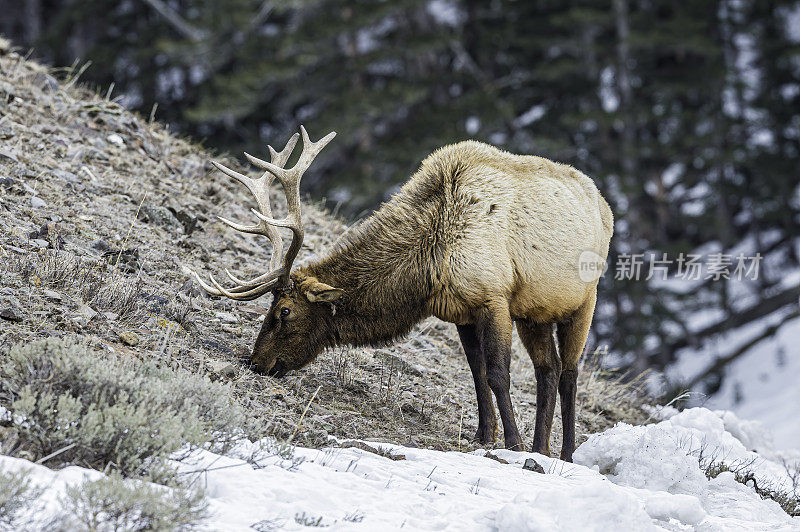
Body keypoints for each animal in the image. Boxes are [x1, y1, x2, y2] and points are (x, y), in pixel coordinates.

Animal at [192, 124, 612, 462]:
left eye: (284, 312)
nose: (255, 362)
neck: (426, 266)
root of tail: (606, 206)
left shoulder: (493, 297)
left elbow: (497, 374)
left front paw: (513, 443)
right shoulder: (462, 311)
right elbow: (477, 372)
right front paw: (484, 436)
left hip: (585, 300)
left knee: (569, 371)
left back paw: (565, 453)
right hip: (534, 311)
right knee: (548, 368)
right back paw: (542, 448)